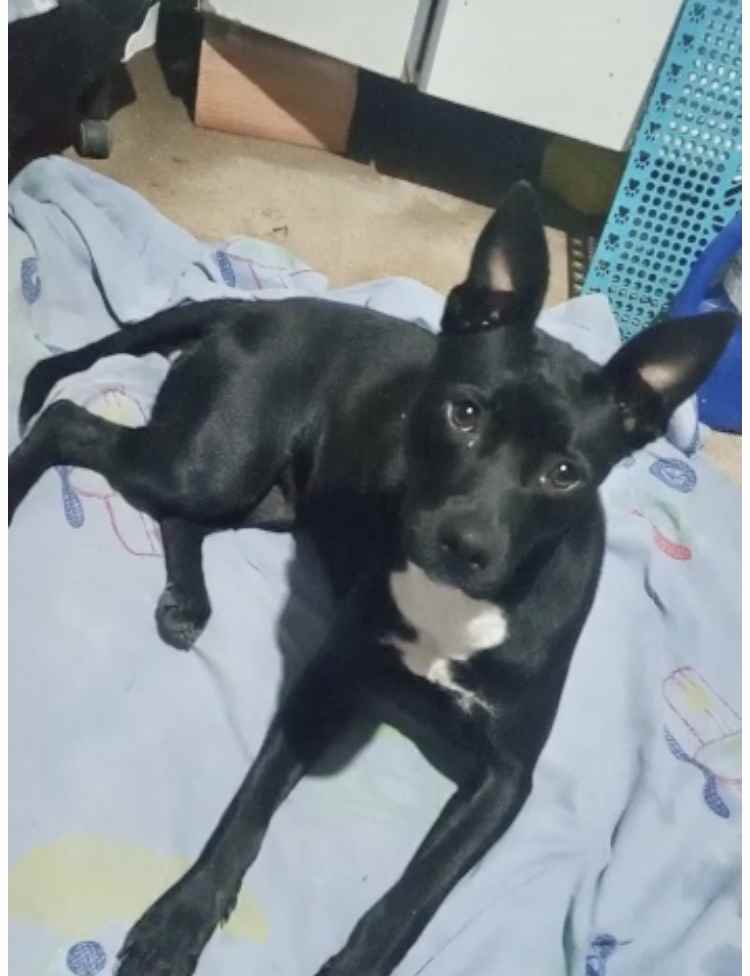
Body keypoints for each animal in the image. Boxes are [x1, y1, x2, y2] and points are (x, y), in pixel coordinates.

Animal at [9, 182, 734, 976]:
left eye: (565, 473)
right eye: (463, 412)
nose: (464, 544)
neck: (454, 607)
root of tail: (251, 310)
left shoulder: (506, 777)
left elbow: (418, 892)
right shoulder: (327, 681)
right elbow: (247, 809)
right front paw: (183, 916)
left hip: (267, 497)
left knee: (177, 515)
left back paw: (188, 601)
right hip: (215, 460)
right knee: (68, 420)